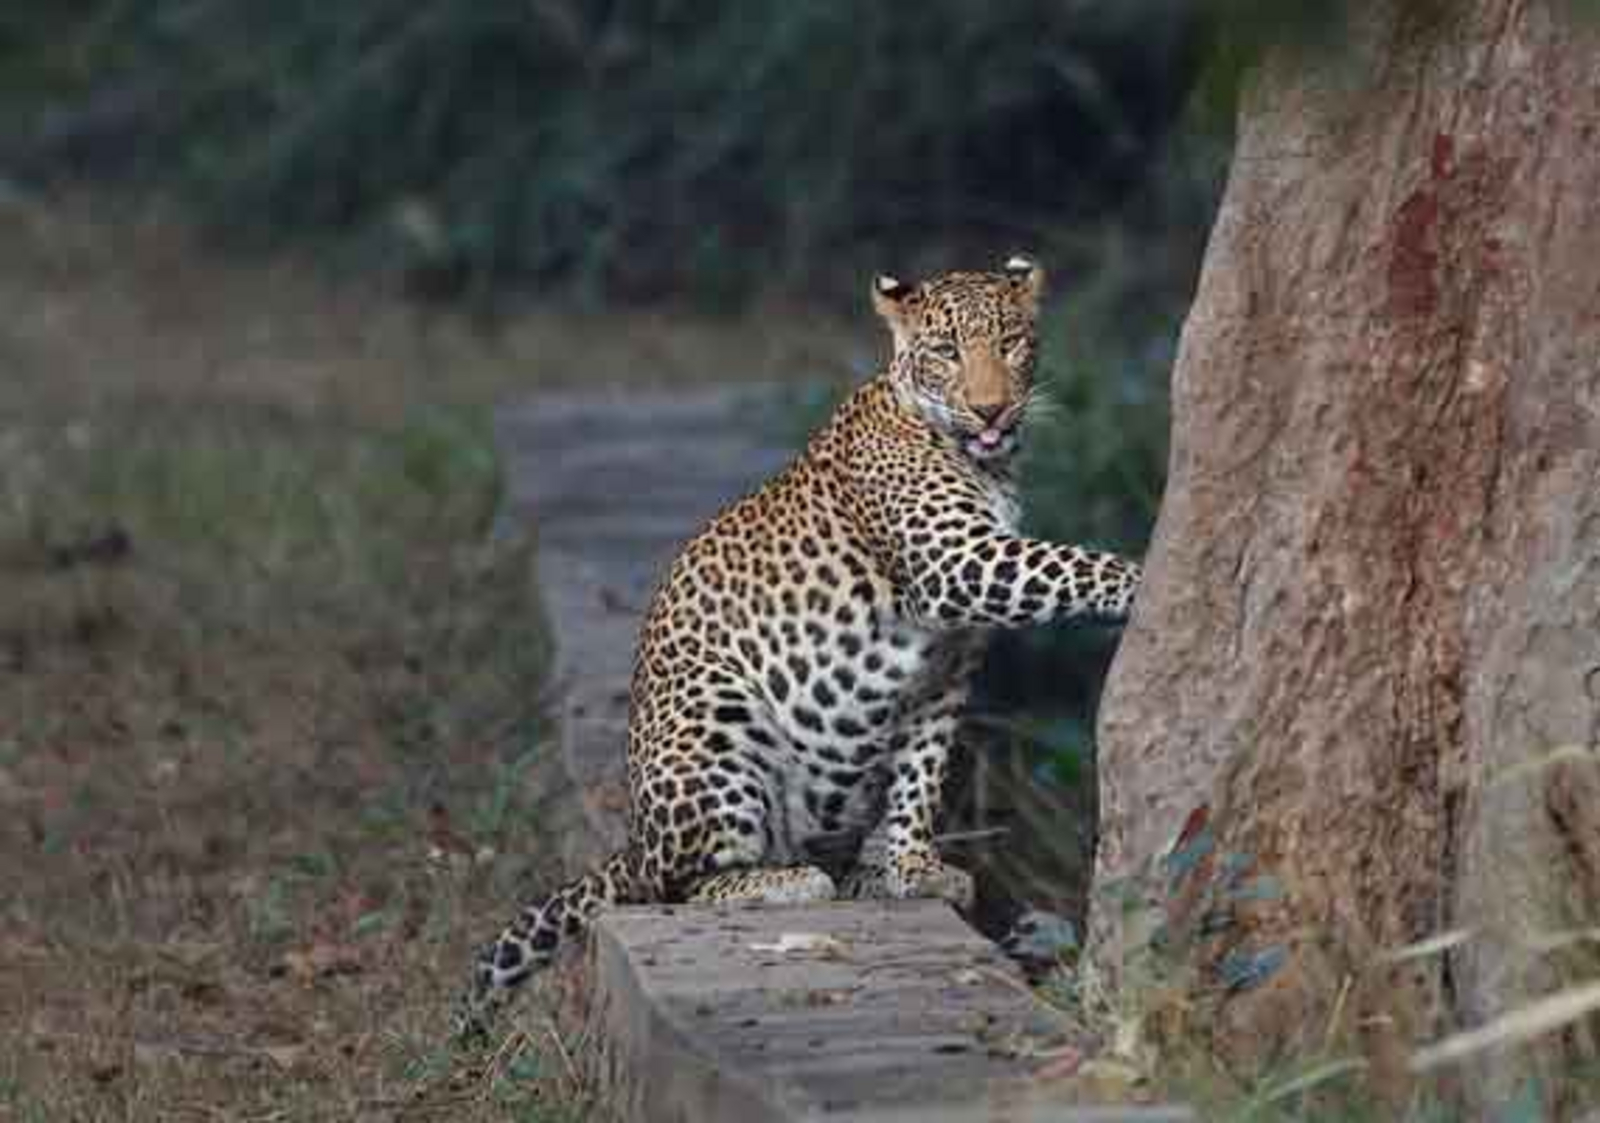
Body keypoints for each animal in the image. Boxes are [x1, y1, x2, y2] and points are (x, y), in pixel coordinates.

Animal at [454, 256, 1141, 1041]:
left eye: (1011, 342)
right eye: (945, 353)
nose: (992, 409)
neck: (983, 460)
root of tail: (632, 840)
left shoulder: (947, 670)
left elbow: (922, 775)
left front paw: (913, 868)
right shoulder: (959, 563)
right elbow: (1070, 564)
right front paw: (1142, 574)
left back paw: (863, 872)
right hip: (715, 717)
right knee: (675, 885)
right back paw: (784, 880)